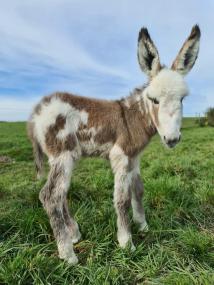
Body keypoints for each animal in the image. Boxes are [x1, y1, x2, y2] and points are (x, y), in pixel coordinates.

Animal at [28, 25, 201, 262]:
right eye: (154, 100)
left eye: (182, 99)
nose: (172, 139)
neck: (134, 116)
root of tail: (37, 111)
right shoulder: (121, 156)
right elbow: (122, 199)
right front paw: (126, 242)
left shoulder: (135, 157)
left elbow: (138, 190)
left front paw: (143, 225)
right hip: (64, 154)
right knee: (51, 196)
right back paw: (68, 254)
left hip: (64, 158)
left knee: (61, 194)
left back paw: (74, 234)